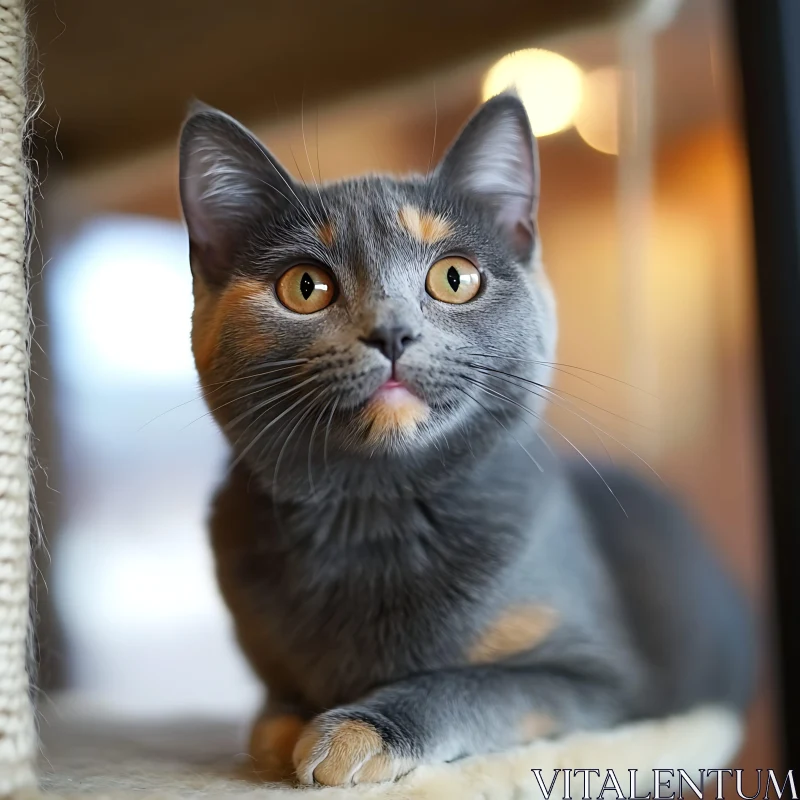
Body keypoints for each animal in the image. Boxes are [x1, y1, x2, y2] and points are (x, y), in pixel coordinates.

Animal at [178, 90, 752, 784]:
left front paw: (354, 732)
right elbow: (268, 714)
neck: (375, 509)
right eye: (305, 287)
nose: (392, 331)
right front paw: (286, 731)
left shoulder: (598, 681)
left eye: (454, 278)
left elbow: (479, 685)